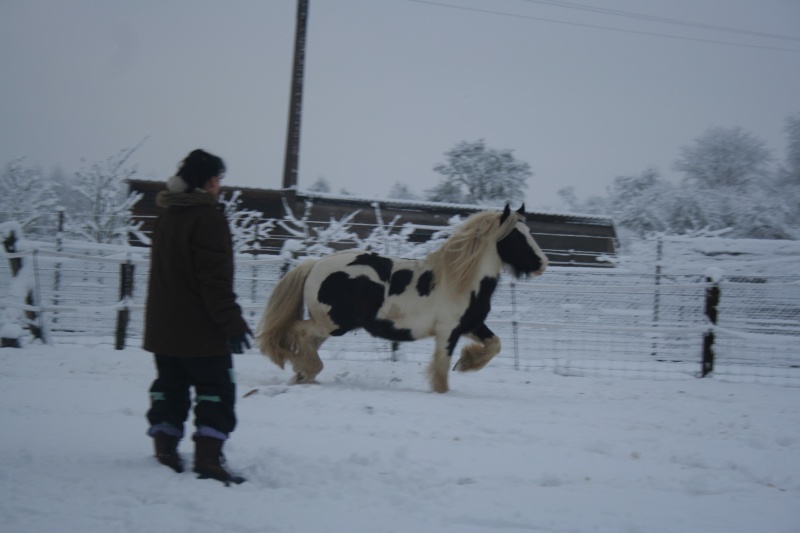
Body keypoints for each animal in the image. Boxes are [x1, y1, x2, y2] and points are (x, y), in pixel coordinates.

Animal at [258, 204, 552, 390]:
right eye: (517, 236)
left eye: (529, 233)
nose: (542, 264)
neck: (459, 280)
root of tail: (314, 265)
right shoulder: (448, 332)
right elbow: (441, 372)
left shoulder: (471, 325)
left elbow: (495, 345)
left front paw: (466, 363)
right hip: (332, 323)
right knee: (297, 331)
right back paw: (308, 370)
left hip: (328, 325)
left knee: (303, 341)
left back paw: (303, 374)